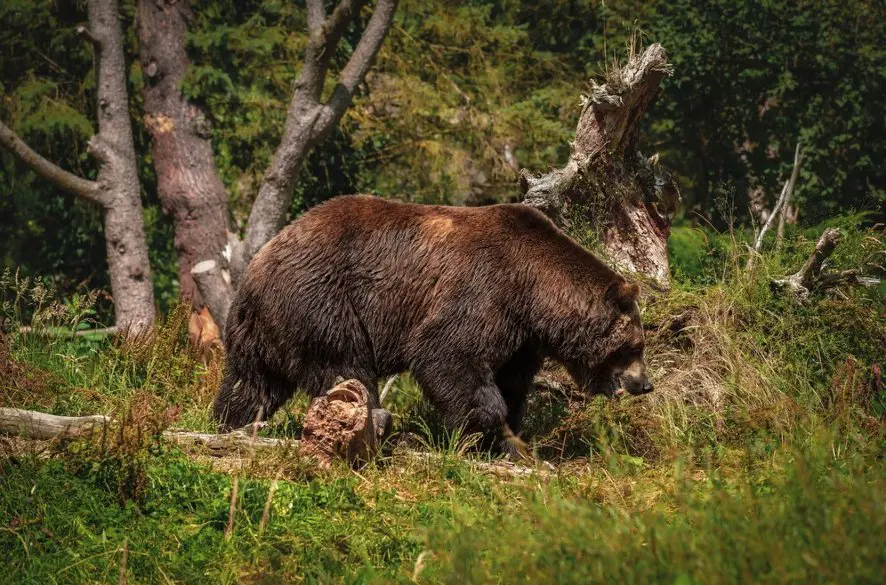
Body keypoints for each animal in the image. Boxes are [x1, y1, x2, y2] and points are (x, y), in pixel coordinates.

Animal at [214, 196, 652, 452]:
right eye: (634, 347)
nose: (644, 384)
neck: (534, 291)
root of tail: (256, 266)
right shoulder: (486, 288)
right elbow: (446, 353)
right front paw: (476, 430)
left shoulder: (521, 337)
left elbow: (512, 383)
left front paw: (509, 440)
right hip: (322, 301)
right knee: (345, 367)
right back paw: (378, 422)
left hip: (262, 330)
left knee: (251, 384)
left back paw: (228, 423)